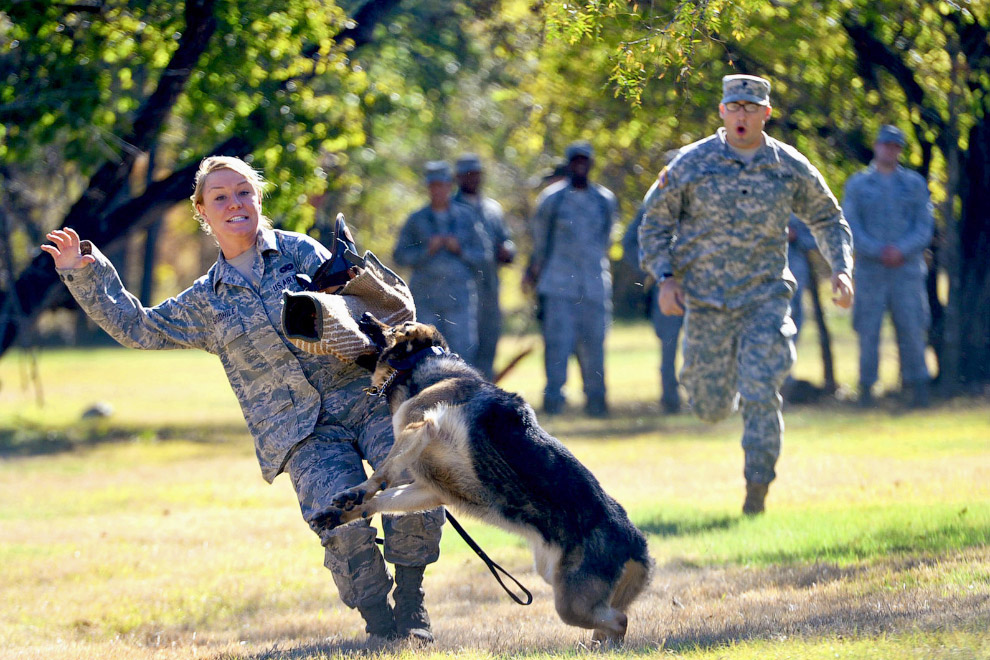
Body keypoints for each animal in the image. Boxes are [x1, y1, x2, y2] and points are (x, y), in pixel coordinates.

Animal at [318, 314, 656, 644]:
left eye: (395, 326)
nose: (363, 314)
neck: (424, 363)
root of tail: (639, 545)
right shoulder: (429, 490)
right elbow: (380, 500)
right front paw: (340, 513)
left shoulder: (419, 427)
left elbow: (382, 472)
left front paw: (357, 491)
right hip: (568, 590)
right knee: (610, 622)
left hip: (571, 605)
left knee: (619, 620)